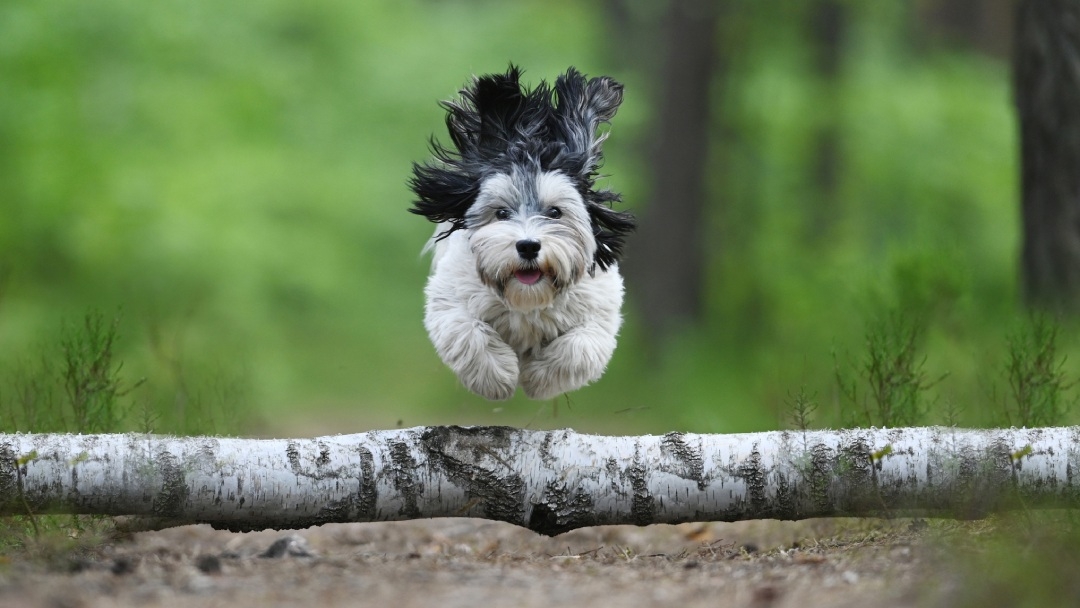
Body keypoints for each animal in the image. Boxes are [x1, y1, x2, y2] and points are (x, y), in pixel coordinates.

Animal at [410, 66, 630, 401]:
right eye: (501, 213)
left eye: (555, 212)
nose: (527, 246)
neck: (527, 298)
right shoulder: (450, 300)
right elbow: (469, 333)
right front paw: (497, 379)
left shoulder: (599, 311)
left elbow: (578, 347)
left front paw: (538, 380)